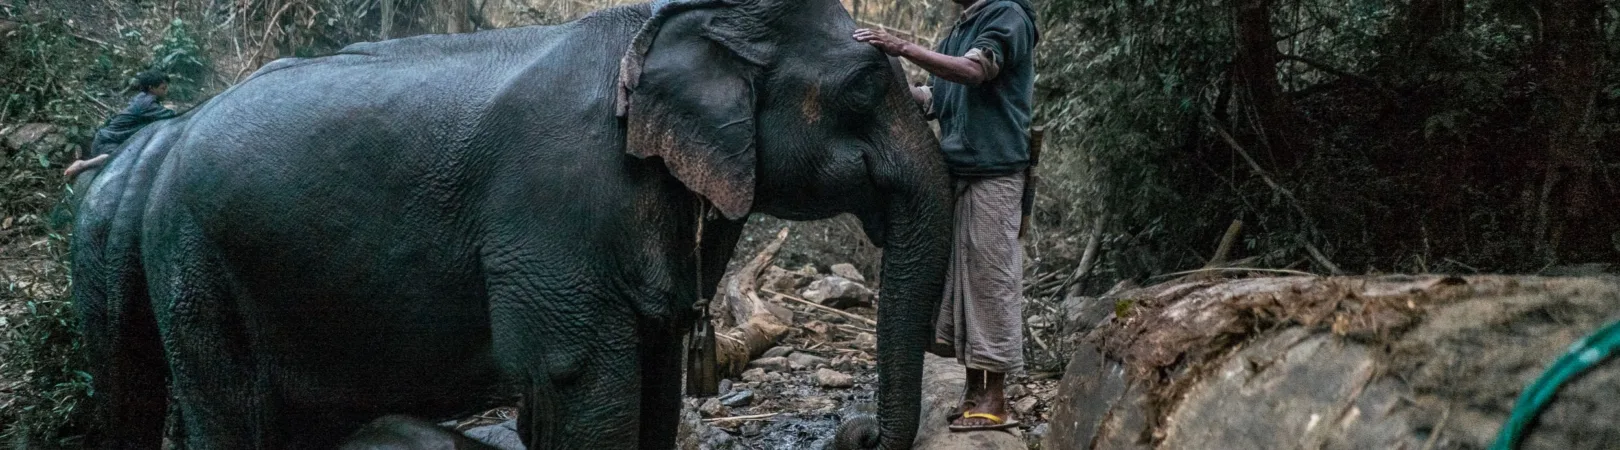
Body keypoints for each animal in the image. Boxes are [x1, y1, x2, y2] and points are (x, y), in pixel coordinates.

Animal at [68, 0, 951, 448]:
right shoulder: (553, 203)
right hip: (195, 267)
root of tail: (172, 137)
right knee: (232, 412)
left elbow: (659, 375)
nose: (858, 432)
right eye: (867, 81)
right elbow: (578, 376)